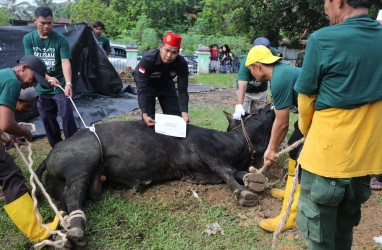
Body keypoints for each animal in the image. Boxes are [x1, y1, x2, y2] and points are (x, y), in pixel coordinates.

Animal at [35, 103, 274, 246]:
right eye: (259, 110)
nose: (271, 104)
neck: (231, 144)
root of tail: (51, 152)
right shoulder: (206, 152)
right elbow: (226, 172)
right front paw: (244, 193)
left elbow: (237, 172)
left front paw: (254, 180)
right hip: (82, 163)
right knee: (73, 195)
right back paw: (77, 231)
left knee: (64, 204)